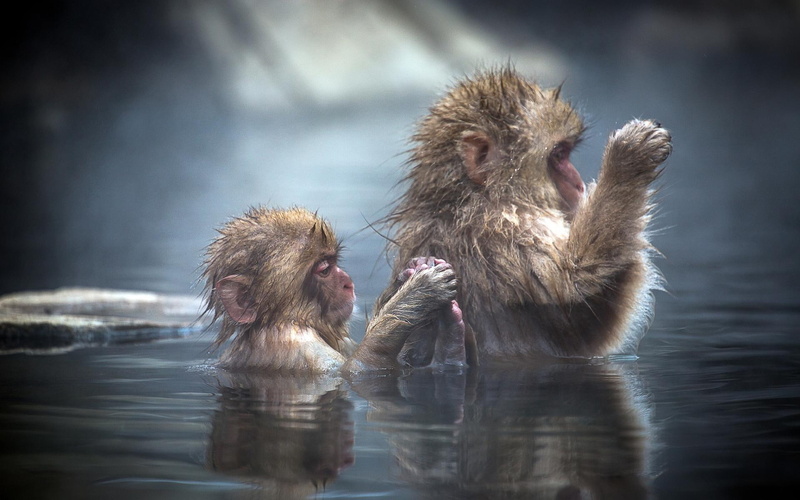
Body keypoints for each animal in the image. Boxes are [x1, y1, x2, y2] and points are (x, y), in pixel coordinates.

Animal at [202, 206, 465, 374]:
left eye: (334, 261)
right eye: (326, 269)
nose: (348, 282)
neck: (285, 320)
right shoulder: (298, 346)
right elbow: (356, 371)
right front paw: (419, 293)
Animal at [376, 66, 672, 363]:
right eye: (559, 154)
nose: (578, 185)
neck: (464, 201)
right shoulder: (508, 232)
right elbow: (579, 286)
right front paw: (627, 161)